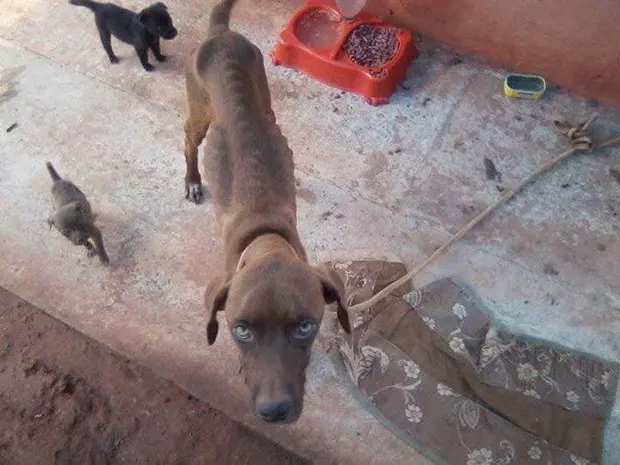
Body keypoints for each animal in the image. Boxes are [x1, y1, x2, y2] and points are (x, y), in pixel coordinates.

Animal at [182, 0, 352, 422]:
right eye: (241, 329)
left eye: (305, 327)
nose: (275, 411)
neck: (265, 237)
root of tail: (220, 34)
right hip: (198, 113)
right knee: (187, 140)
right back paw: (191, 179)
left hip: (265, 94)